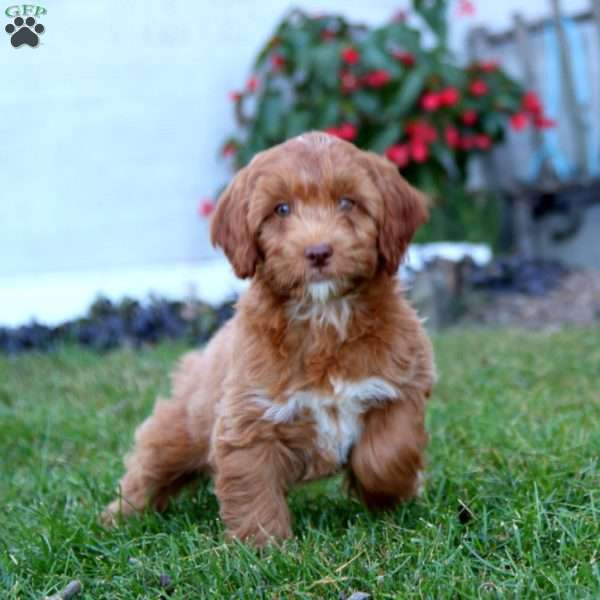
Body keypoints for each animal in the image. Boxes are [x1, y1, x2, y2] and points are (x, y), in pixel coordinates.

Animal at [104, 134, 436, 548]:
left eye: (348, 202)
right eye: (281, 209)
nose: (318, 251)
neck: (324, 317)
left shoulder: (401, 385)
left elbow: (387, 453)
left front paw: (389, 494)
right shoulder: (249, 418)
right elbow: (253, 484)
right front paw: (263, 546)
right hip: (179, 430)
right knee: (148, 466)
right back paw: (119, 516)